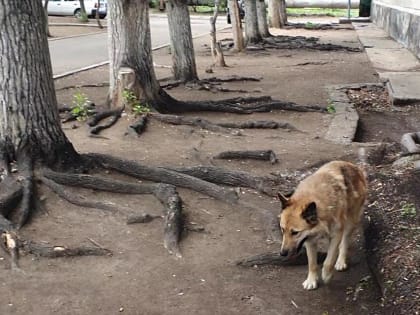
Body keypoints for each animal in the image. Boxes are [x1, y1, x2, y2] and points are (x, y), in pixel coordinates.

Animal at [278, 162, 366, 290]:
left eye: (295, 232)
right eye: (282, 229)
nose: (282, 253)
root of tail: (354, 167)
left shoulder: (336, 235)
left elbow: (329, 261)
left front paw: (326, 275)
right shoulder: (309, 240)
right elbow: (312, 263)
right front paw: (311, 280)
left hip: (350, 223)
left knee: (344, 242)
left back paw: (340, 262)